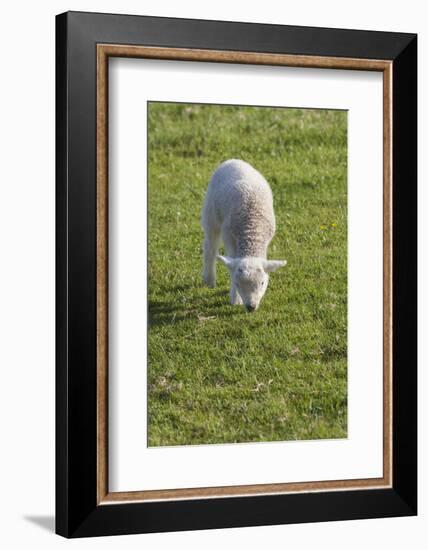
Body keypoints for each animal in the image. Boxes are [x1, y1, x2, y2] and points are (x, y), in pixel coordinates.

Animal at [201, 160, 288, 314]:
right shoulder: (229, 236)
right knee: (210, 247)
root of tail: (232, 160)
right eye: (237, 283)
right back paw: (209, 280)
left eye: (262, 282)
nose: (251, 307)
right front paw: (235, 299)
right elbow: (231, 265)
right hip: (211, 214)